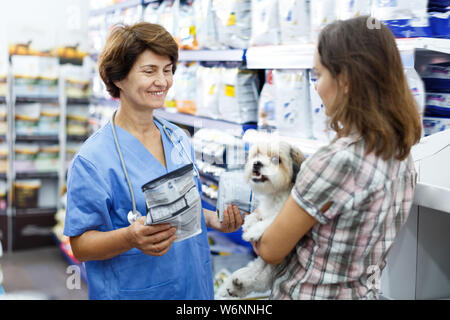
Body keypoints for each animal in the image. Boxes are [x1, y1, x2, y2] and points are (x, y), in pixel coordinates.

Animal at [215, 140, 306, 298]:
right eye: (257, 154)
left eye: (276, 160)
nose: (257, 163)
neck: (276, 195)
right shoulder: (263, 210)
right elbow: (256, 215)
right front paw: (248, 223)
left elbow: (269, 221)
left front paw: (252, 232)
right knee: (256, 274)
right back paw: (233, 285)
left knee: (260, 278)